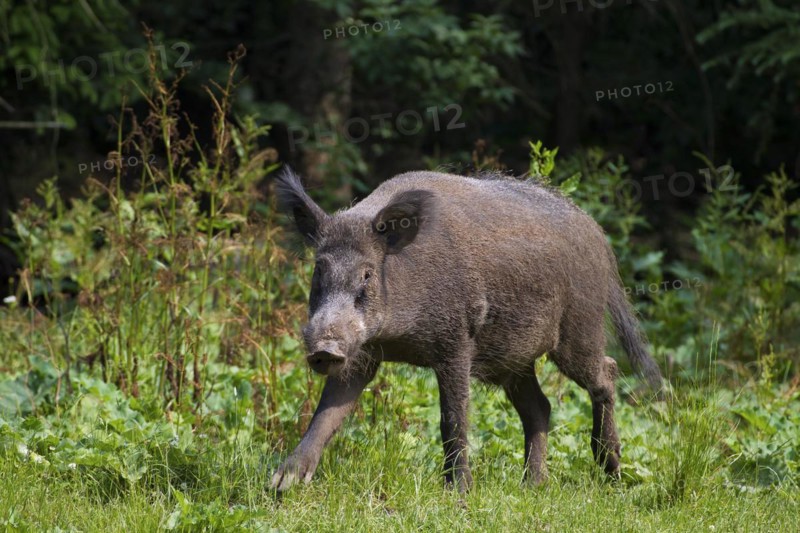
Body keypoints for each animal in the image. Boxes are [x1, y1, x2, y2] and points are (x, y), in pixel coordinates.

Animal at [270, 169, 662, 492]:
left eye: (367, 274)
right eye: (318, 270)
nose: (324, 349)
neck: (396, 338)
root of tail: (597, 236)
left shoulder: (456, 343)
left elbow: (453, 420)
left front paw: (458, 493)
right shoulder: (361, 355)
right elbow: (326, 414)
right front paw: (281, 484)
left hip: (579, 330)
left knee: (607, 372)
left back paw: (611, 472)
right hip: (514, 359)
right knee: (539, 407)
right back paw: (532, 486)